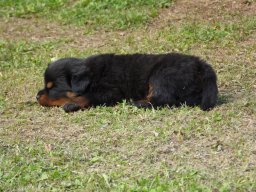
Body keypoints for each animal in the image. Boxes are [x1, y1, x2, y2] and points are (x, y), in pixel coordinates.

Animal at [36, 52, 218, 112]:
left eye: (53, 87)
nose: (37, 96)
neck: (92, 76)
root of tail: (200, 64)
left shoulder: (111, 91)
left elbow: (87, 97)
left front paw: (71, 104)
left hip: (161, 75)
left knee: (164, 99)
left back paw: (138, 103)